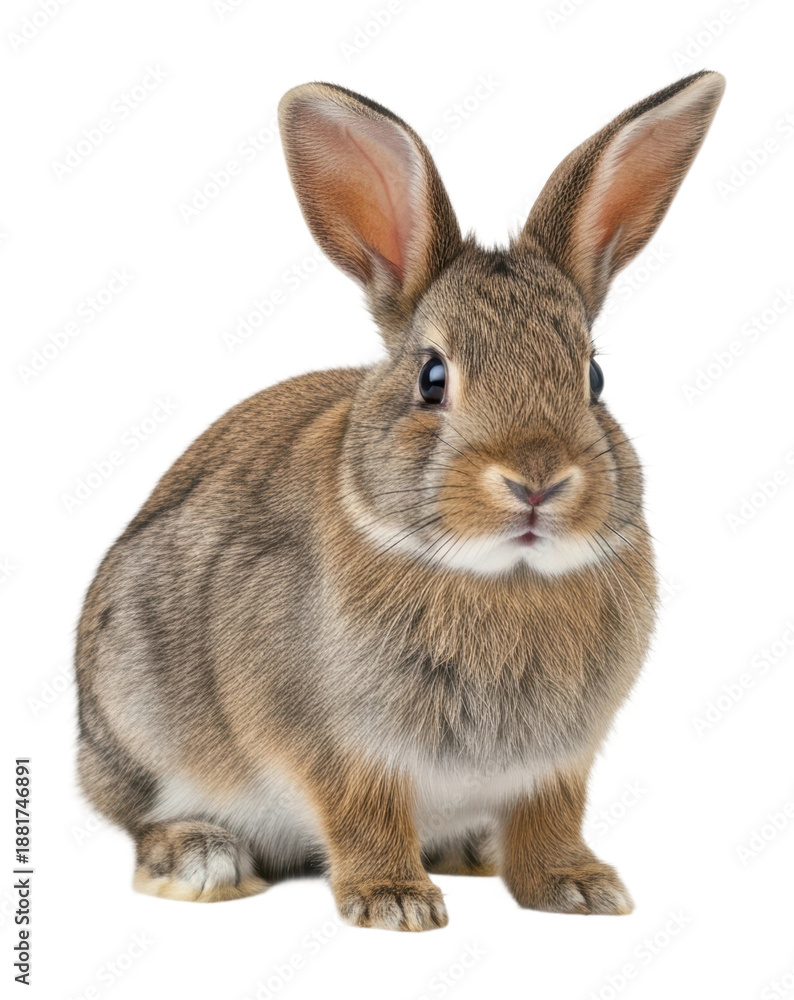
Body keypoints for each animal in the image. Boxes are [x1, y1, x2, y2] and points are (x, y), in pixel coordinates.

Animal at [75, 70, 724, 930]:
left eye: (594, 378)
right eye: (433, 378)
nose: (537, 480)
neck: (502, 578)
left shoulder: (556, 764)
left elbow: (550, 820)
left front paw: (579, 889)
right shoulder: (339, 746)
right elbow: (364, 814)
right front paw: (395, 902)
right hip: (135, 711)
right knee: (140, 818)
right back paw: (201, 860)